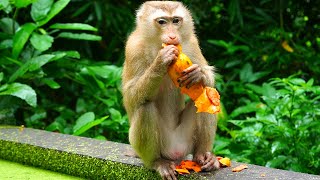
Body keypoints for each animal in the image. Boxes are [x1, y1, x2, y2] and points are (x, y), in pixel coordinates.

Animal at [122, 1, 220, 179]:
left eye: (175, 21)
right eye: (162, 22)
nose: (173, 36)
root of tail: (176, 153)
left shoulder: (191, 42)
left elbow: (208, 76)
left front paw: (199, 74)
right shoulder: (134, 48)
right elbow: (131, 96)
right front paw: (160, 62)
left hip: (185, 140)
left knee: (207, 96)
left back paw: (203, 155)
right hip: (162, 146)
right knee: (145, 107)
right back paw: (157, 162)